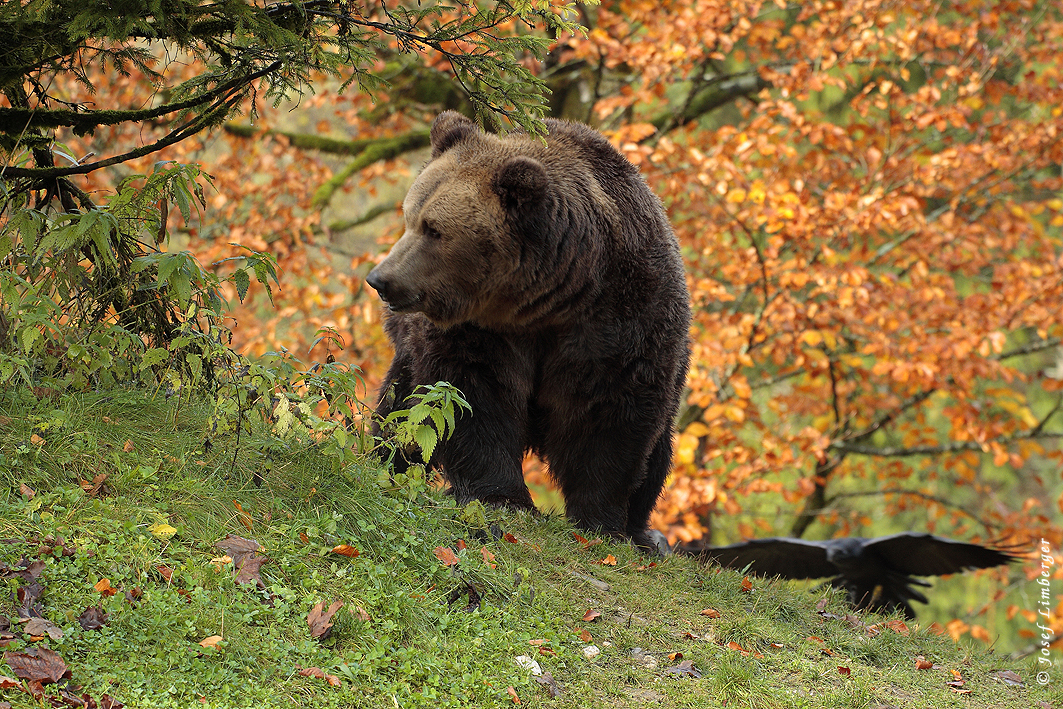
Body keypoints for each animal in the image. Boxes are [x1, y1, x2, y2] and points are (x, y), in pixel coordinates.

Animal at [365, 112, 693, 552]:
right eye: (408, 216)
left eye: (434, 229)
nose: (380, 279)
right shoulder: (482, 330)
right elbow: (471, 398)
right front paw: (502, 497)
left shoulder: (620, 318)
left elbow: (610, 415)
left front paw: (601, 522)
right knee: (403, 411)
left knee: (657, 453)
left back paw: (645, 532)